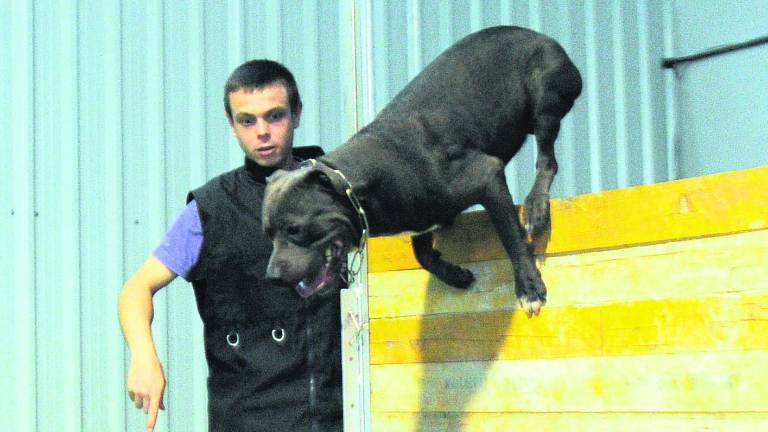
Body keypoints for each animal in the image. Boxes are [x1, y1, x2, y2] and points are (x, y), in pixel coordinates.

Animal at [260, 27, 580, 316]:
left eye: (294, 229)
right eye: (268, 234)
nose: (272, 277)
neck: (358, 184)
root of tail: (542, 36)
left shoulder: (485, 174)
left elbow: (510, 235)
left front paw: (528, 288)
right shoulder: (421, 214)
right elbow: (423, 254)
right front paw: (454, 275)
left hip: (544, 94)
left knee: (547, 159)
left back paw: (536, 203)